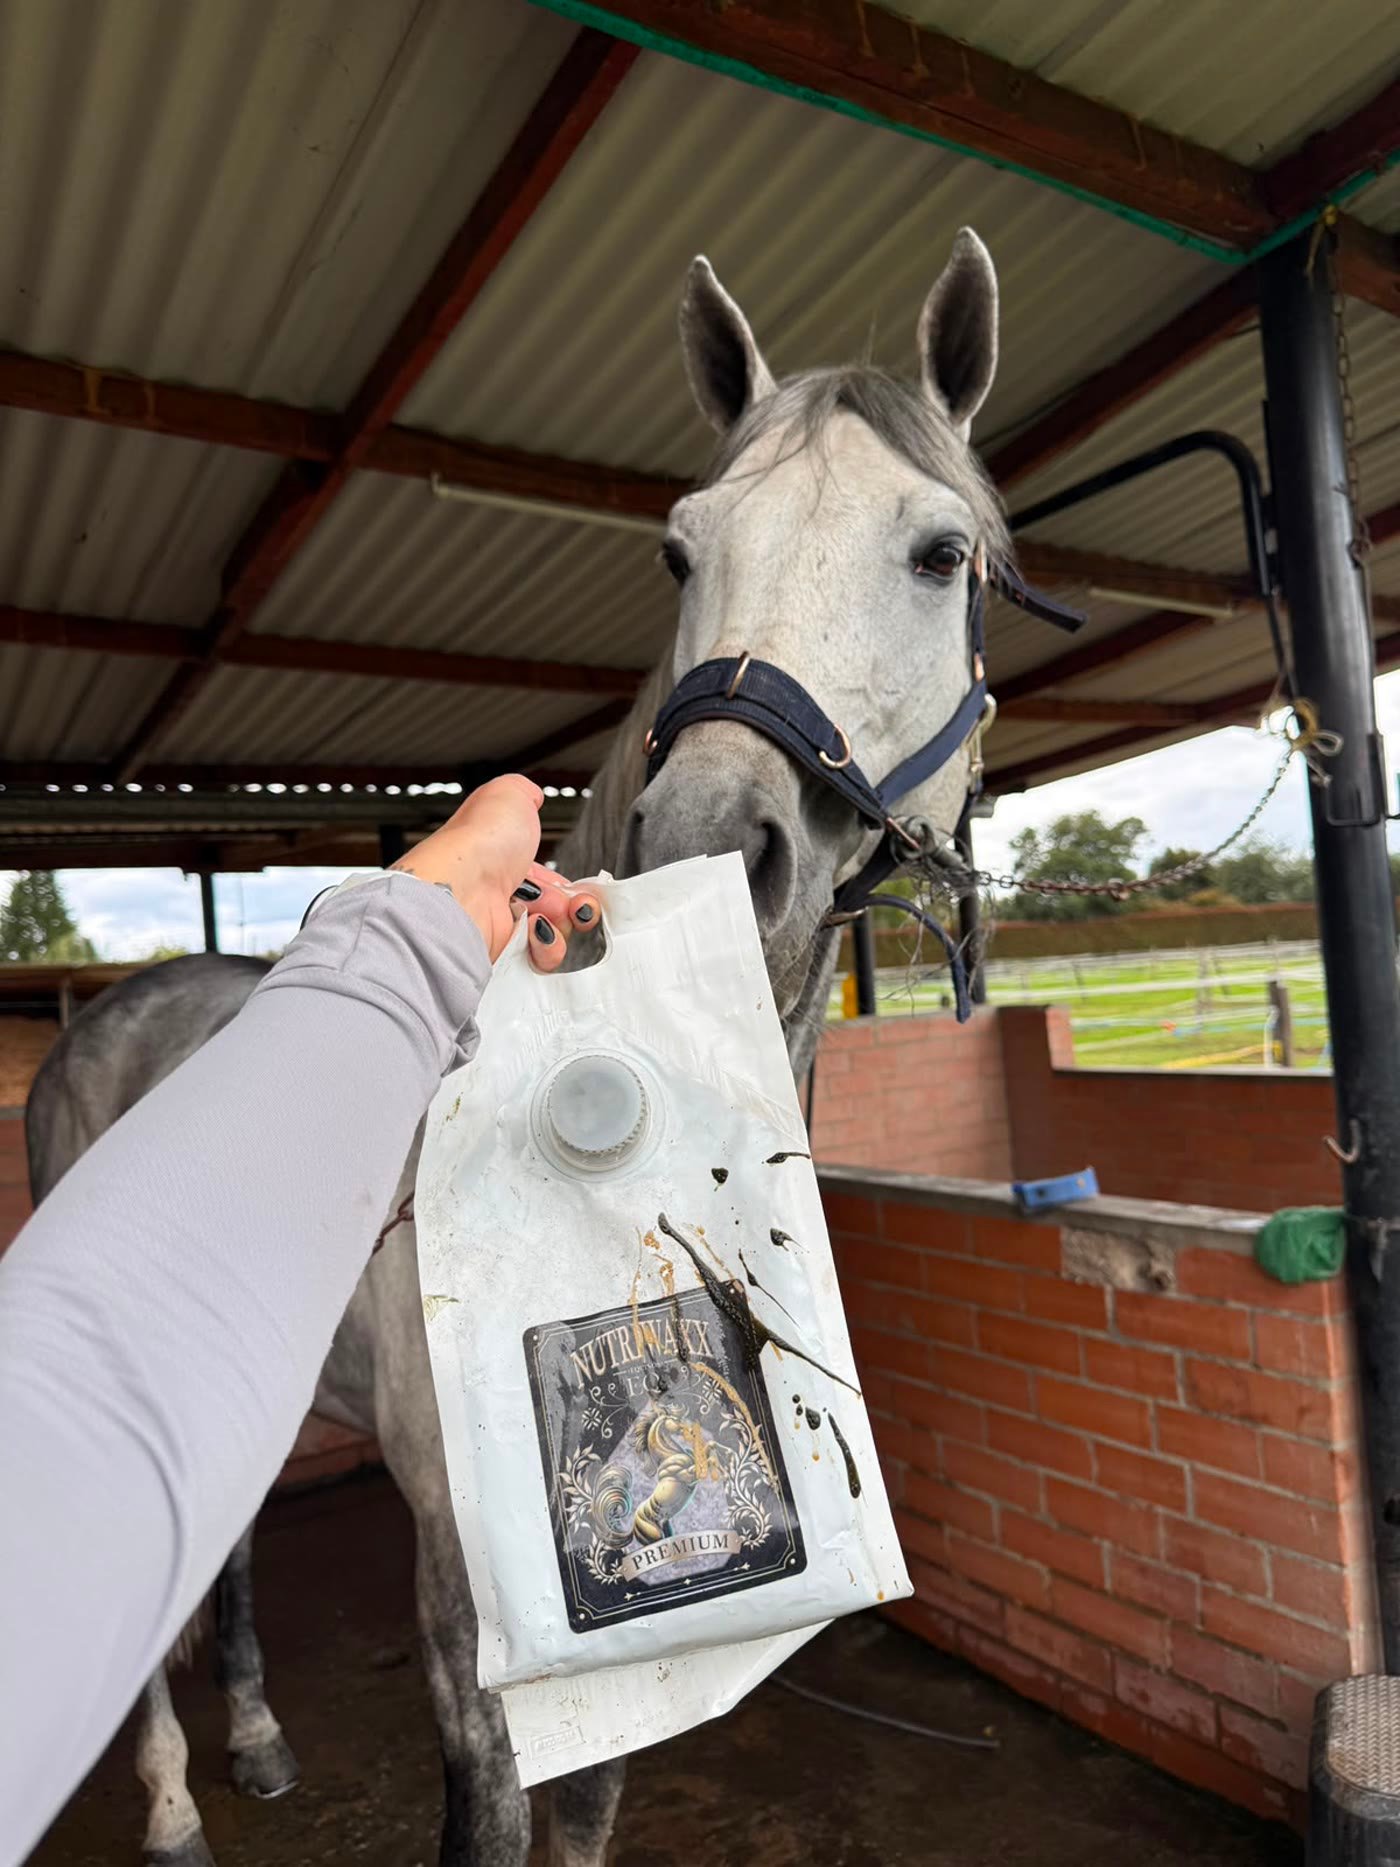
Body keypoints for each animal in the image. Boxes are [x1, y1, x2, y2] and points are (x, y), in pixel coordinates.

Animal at [24, 227, 1006, 1867]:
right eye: (679, 550)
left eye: (939, 552)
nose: (705, 843)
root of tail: (103, 1017)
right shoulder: (466, 1587)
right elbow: (488, 1803)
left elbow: (591, 1803)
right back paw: (167, 1802)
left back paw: (259, 1738)